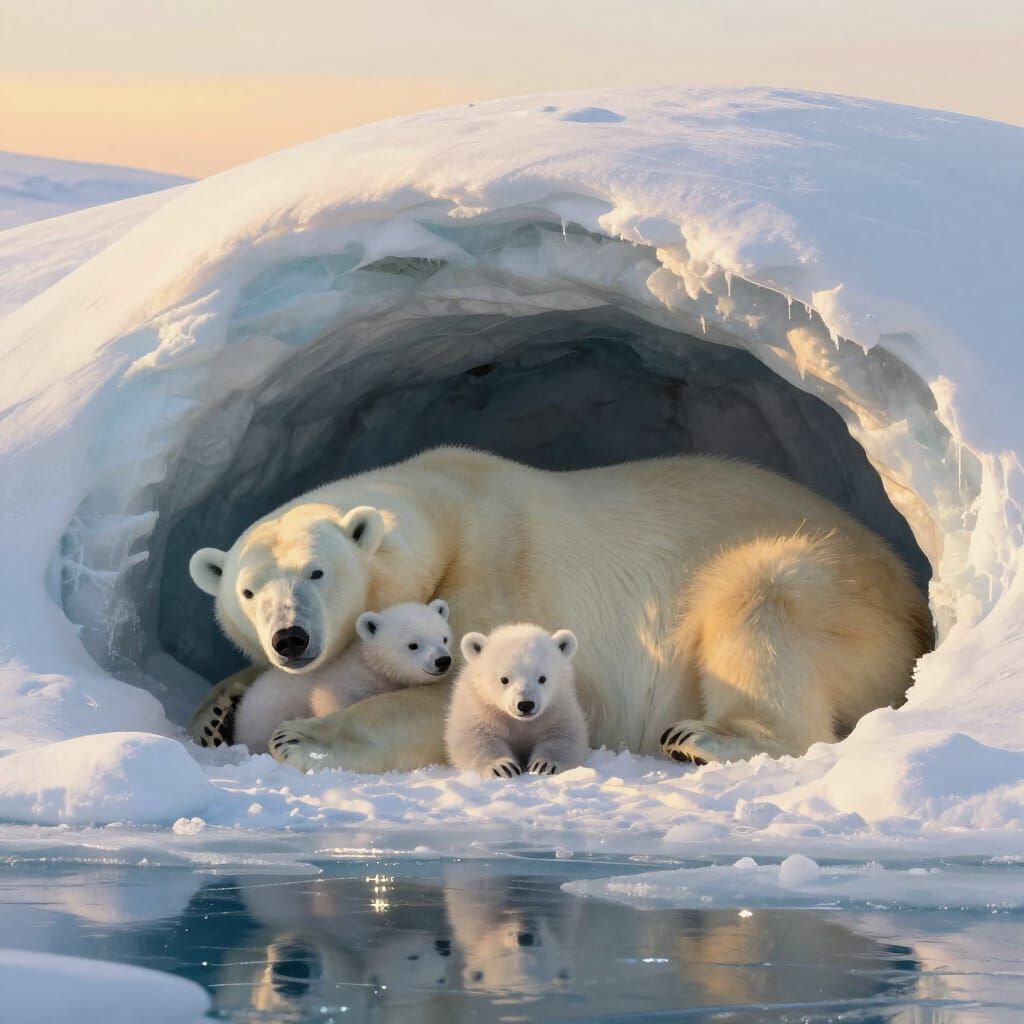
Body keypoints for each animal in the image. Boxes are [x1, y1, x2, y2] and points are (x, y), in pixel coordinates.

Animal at [228, 599, 452, 755]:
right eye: (413, 645)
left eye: (444, 638)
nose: (443, 660)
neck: (370, 666)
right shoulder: (344, 684)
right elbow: (328, 704)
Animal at [444, 624, 589, 777]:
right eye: (504, 679)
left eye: (542, 678)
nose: (525, 705)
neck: (520, 722)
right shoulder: (479, 704)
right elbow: (474, 736)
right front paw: (502, 767)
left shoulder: (558, 704)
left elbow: (563, 734)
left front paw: (544, 764)